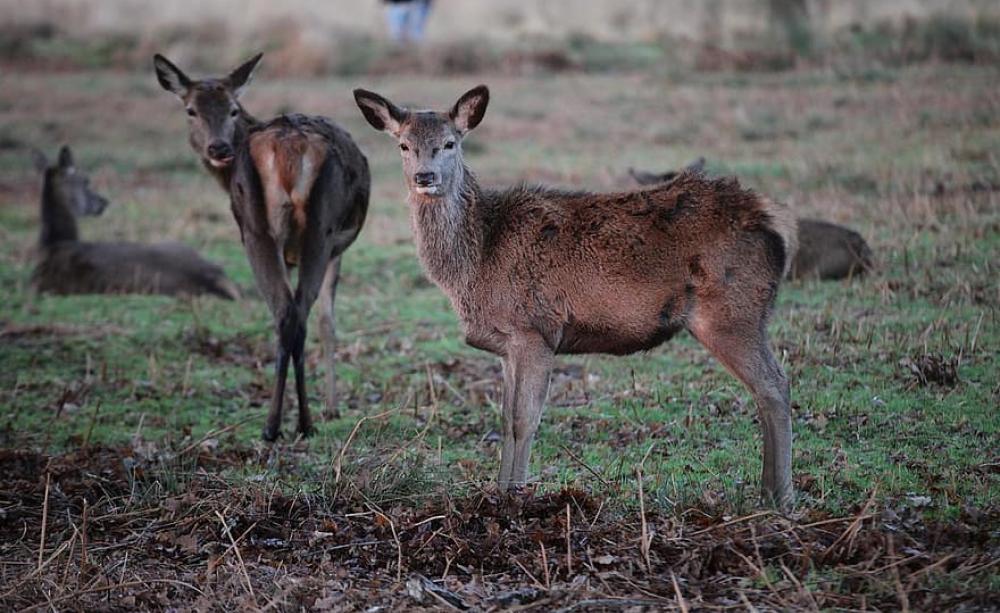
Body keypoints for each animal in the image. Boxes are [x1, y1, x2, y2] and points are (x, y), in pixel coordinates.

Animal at [154, 53, 371, 441]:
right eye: (191, 110)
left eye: (233, 108)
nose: (219, 148)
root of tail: (287, 150)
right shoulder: (333, 248)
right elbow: (327, 320)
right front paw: (331, 407)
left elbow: (326, 320)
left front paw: (329, 406)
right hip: (314, 228)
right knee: (294, 313)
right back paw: (293, 423)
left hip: (264, 227)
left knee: (287, 313)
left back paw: (281, 423)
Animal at [354, 85, 799, 509]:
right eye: (403, 145)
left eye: (450, 143)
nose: (425, 176)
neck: (478, 259)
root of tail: (774, 222)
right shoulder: (506, 344)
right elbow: (505, 420)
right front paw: (497, 492)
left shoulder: (535, 329)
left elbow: (524, 420)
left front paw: (515, 498)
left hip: (731, 311)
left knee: (774, 385)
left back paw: (779, 497)